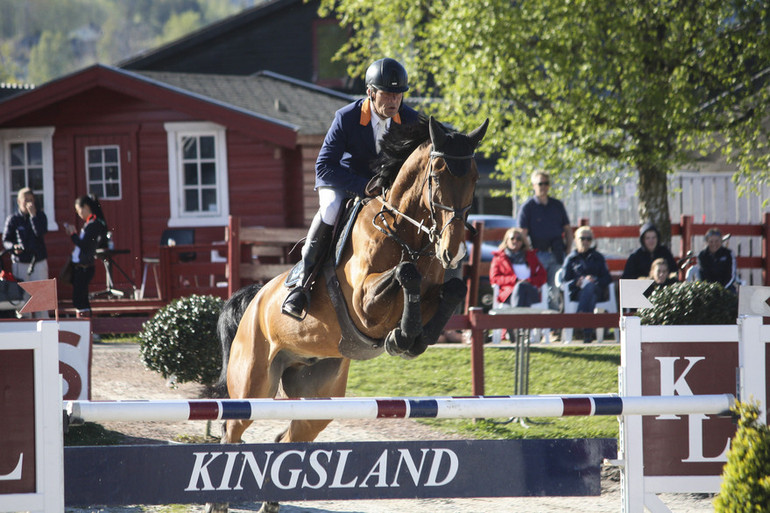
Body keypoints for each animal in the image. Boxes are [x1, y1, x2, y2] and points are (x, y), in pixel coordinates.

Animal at [208, 116, 486, 512]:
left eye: (475, 176)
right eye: (437, 174)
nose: (453, 251)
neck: (406, 234)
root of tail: (254, 299)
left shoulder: (434, 290)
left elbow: (454, 290)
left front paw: (413, 338)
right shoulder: (363, 303)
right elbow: (405, 274)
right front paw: (402, 336)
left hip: (317, 397)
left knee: (288, 440)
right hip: (253, 386)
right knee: (231, 432)